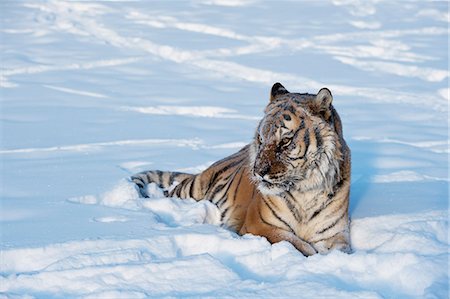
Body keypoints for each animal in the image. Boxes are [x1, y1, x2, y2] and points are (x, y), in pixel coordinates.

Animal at [130, 83, 352, 256]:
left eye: (285, 141)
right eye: (261, 139)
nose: (258, 172)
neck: (306, 190)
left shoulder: (336, 234)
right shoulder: (261, 225)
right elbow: (299, 246)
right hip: (192, 190)